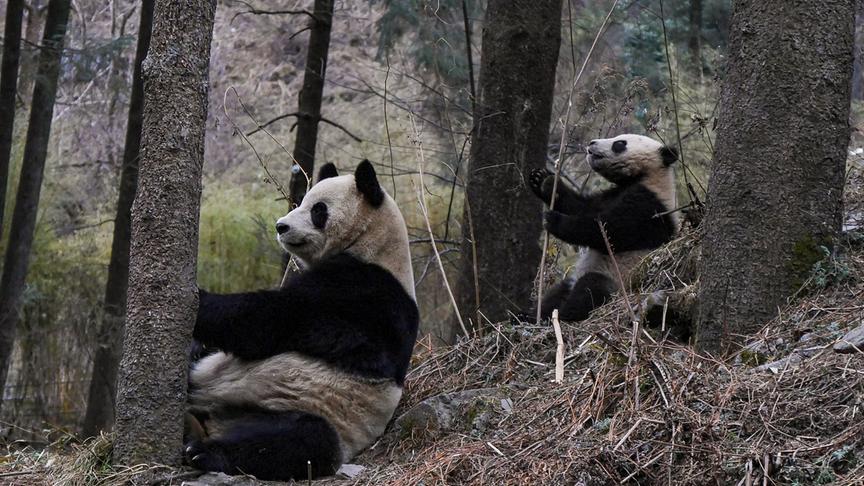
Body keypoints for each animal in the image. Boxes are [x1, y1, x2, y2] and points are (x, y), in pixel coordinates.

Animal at [184, 160, 418, 480]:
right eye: (303, 201)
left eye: (318, 210)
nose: (280, 226)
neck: (376, 245)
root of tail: (217, 419)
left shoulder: (366, 293)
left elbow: (267, 321)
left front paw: (199, 298)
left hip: (317, 412)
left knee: (295, 441)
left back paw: (203, 452)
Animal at [529, 134, 679, 322]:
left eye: (619, 144)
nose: (591, 143)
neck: (645, 177)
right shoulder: (609, 196)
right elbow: (582, 207)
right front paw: (543, 180)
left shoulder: (649, 207)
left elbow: (608, 232)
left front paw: (555, 220)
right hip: (572, 282)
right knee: (556, 293)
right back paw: (531, 315)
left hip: (617, 281)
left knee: (590, 289)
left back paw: (563, 316)